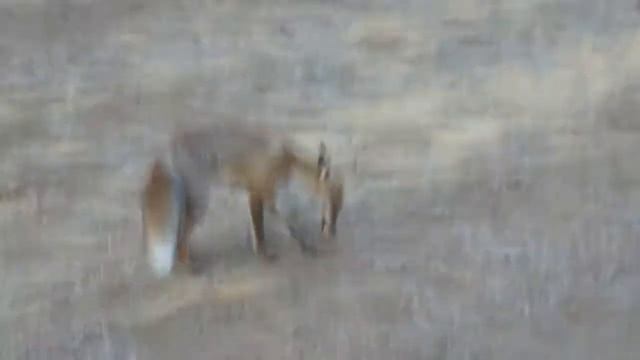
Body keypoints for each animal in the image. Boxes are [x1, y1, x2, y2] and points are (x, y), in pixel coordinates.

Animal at [138, 122, 342, 278]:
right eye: (334, 205)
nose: (333, 233)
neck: (288, 166)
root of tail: (170, 144)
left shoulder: (266, 197)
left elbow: (280, 226)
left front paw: (303, 246)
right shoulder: (259, 192)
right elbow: (263, 231)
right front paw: (267, 254)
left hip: (190, 200)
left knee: (180, 233)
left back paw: (186, 255)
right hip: (201, 202)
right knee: (182, 236)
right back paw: (188, 264)